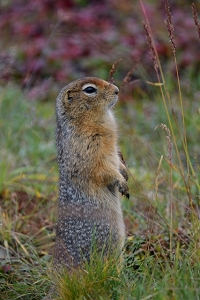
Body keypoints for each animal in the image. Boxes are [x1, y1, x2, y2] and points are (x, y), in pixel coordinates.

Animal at [53, 77, 128, 270]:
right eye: (89, 90)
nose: (117, 90)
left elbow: (117, 159)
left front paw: (125, 173)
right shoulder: (88, 148)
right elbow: (101, 169)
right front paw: (121, 183)